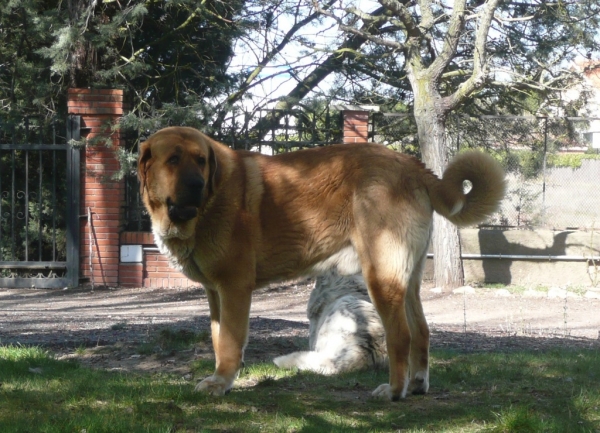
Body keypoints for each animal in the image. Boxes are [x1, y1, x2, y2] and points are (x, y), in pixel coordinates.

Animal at [137, 126, 506, 400]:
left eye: (201, 160)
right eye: (173, 159)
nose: (197, 185)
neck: (210, 203)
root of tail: (410, 163)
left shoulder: (234, 290)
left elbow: (228, 344)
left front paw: (221, 384)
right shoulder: (216, 294)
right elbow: (217, 340)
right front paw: (219, 379)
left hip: (381, 278)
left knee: (401, 335)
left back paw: (394, 390)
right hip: (407, 281)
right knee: (422, 331)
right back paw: (416, 385)